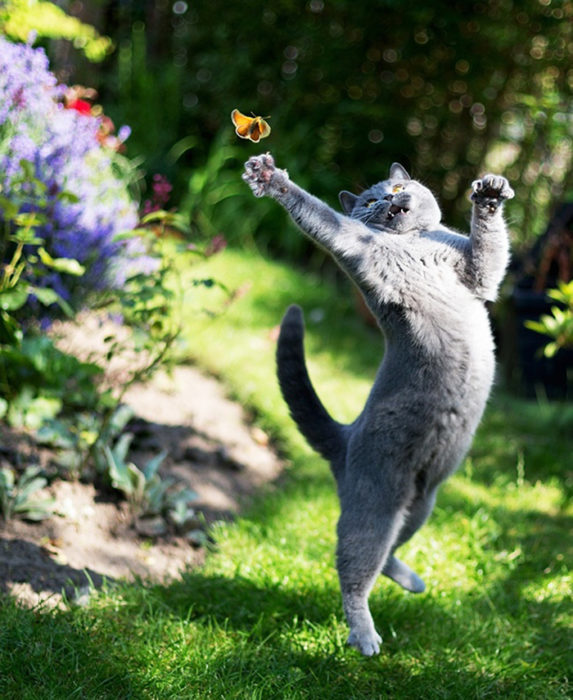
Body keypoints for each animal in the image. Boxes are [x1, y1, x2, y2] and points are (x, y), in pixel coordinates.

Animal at [239, 153, 512, 656]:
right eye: (370, 201)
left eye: (397, 188)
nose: (389, 197)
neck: (414, 244)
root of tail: (344, 439)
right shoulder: (354, 244)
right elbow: (321, 216)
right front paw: (270, 178)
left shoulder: (475, 274)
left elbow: (490, 251)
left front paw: (489, 192)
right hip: (376, 504)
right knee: (354, 568)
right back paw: (364, 636)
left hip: (422, 502)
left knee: (386, 555)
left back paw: (412, 582)